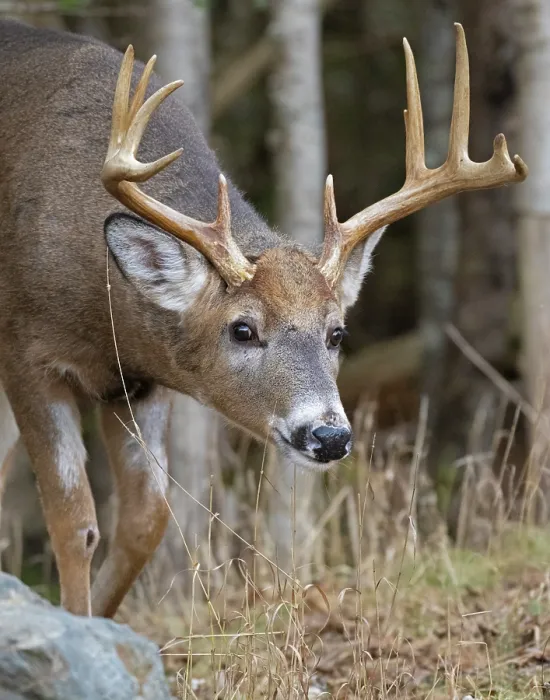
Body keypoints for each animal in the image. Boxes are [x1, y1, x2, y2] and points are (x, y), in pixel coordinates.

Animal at [0, 19, 527, 618]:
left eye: (337, 332)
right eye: (243, 329)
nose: (329, 435)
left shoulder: (138, 383)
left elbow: (145, 521)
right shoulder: (25, 354)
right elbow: (75, 524)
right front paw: (76, 617)